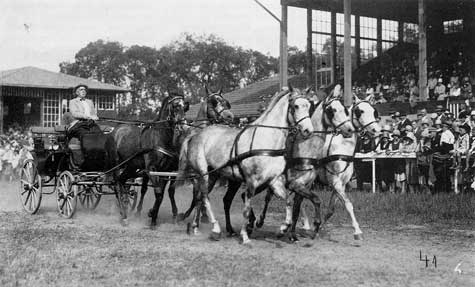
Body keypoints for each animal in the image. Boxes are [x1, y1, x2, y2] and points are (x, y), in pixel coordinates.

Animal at [113, 95, 190, 227]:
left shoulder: (165, 171)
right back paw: (123, 215)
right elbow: (158, 193)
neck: (161, 138)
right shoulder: (152, 169)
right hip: (117, 165)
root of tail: (116, 129)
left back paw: (124, 209)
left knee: (122, 181)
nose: (184, 127)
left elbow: (162, 194)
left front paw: (153, 217)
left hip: (131, 167)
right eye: (175, 106)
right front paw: (152, 216)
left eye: (184, 107)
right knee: (117, 184)